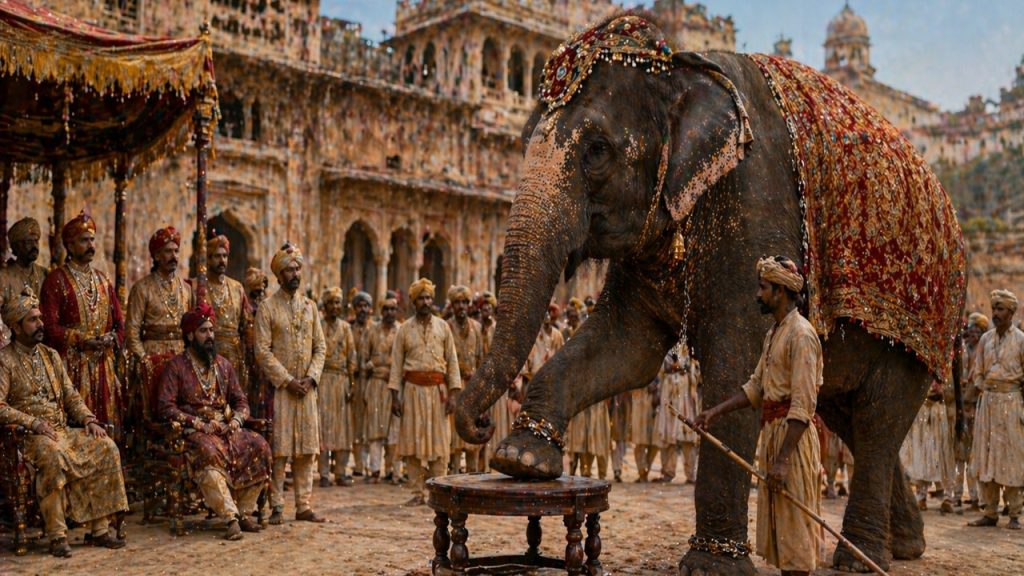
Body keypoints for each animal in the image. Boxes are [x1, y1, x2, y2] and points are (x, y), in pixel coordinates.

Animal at [454, 13, 966, 576]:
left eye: (597, 151)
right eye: (524, 142)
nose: (480, 423)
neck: (679, 66)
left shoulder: (758, 204)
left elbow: (735, 366)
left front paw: (710, 564)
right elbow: (624, 348)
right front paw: (521, 459)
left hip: (926, 325)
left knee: (877, 420)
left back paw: (860, 559)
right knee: (843, 412)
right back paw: (903, 546)